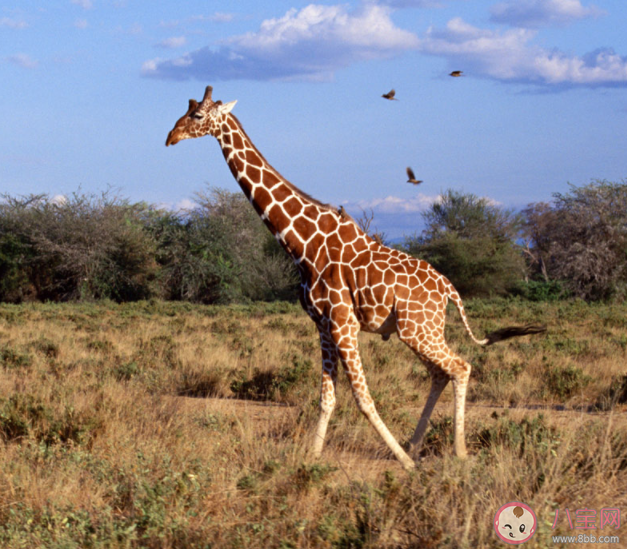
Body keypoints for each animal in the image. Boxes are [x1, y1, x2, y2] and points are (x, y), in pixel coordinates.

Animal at [166, 86, 544, 470]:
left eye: (197, 115)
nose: (171, 137)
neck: (303, 243)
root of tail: (450, 290)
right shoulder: (322, 324)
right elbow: (327, 398)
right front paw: (312, 459)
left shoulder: (343, 322)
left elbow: (363, 398)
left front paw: (402, 464)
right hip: (420, 330)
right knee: (441, 372)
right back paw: (415, 445)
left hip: (418, 329)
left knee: (460, 366)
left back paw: (456, 451)